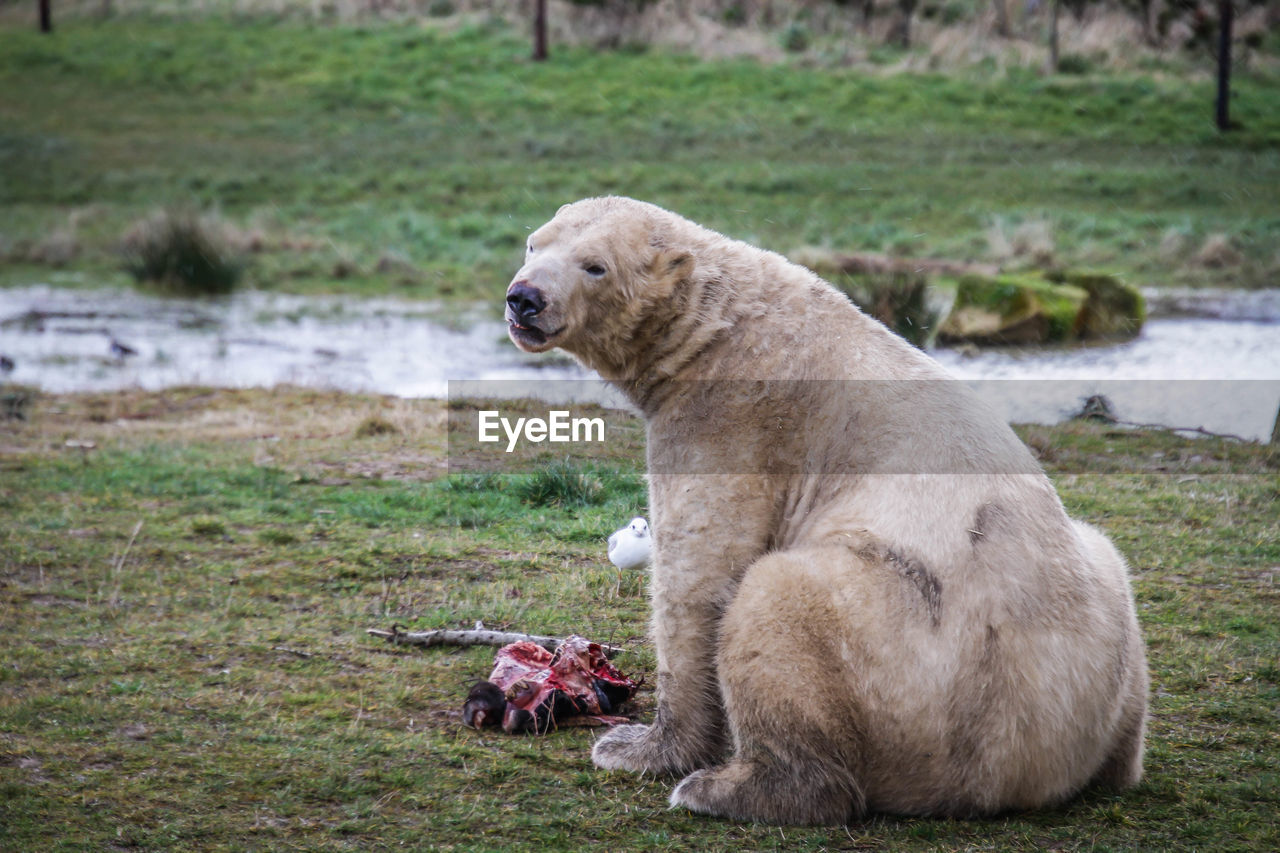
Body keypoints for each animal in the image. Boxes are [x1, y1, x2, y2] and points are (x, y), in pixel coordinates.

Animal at [501, 197, 1152, 824]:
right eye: (534, 243)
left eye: (595, 265)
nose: (524, 298)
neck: (718, 325)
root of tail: (1036, 759)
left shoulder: (729, 418)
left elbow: (698, 577)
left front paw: (639, 749)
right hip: (1104, 621)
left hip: (913, 658)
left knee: (778, 596)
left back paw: (730, 788)